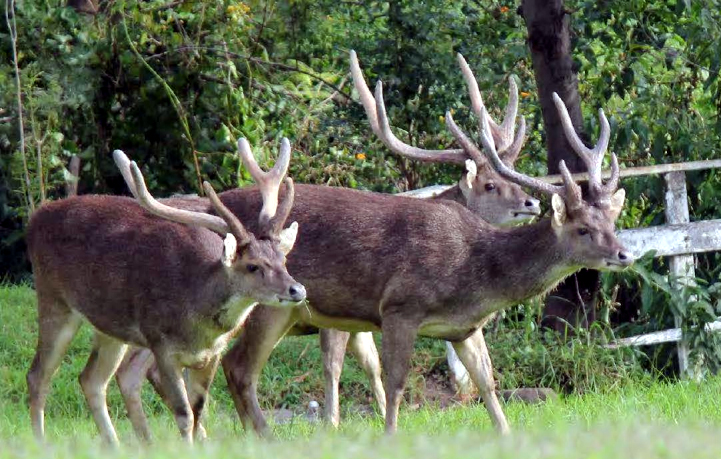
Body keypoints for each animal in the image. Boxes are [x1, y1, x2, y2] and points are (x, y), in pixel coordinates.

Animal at [25, 138, 305, 445]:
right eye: (253, 266)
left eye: (283, 259)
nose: (297, 289)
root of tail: (36, 217)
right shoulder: (161, 344)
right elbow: (184, 414)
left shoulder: (213, 354)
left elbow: (199, 409)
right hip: (53, 299)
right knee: (38, 377)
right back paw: (42, 443)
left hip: (111, 326)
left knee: (91, 379)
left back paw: (118, 445)